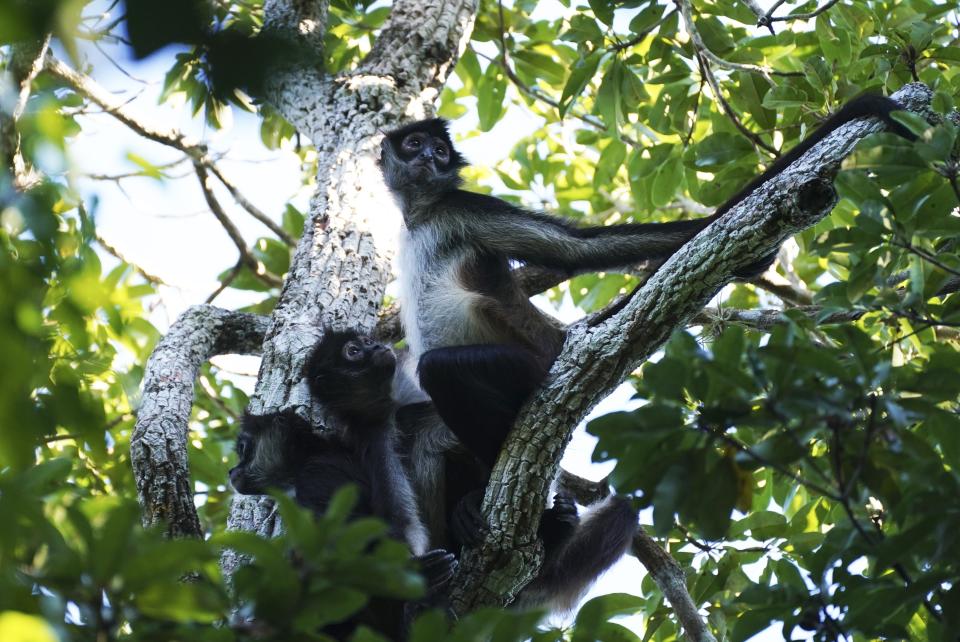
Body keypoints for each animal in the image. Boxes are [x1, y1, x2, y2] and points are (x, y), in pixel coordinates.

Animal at [376, 94, 916, 464]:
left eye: (440, 151)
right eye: (414, 143)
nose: (428, 157)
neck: (423, 215)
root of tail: (558, 339)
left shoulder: (464, 209)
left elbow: (576, 251)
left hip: (531, 363)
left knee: (442, 369)